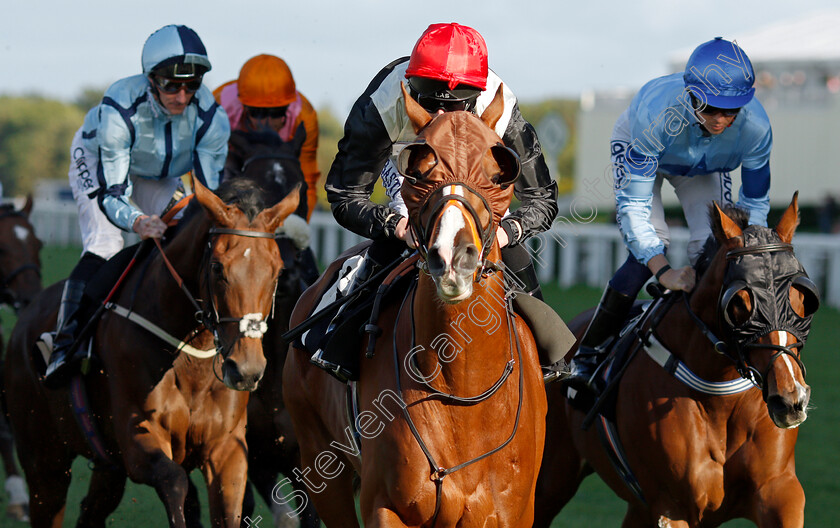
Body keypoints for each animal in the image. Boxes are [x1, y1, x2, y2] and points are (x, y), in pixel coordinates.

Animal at [4, 177, 300, 528]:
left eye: (278, 271)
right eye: (217, 268)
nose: (246, 370)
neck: (191, 358)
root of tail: (24, 320)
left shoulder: (228, 447)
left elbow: (230, 510)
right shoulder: (138, 438)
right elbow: (175, 482)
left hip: (106, 467)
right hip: (45, 460)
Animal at [280, 84, 544, 524]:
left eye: (498, 175)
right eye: (419, 174)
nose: (453, 257)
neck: (461, 390)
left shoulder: (513, 512)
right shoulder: (388, 507)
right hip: (319, 462)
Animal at [536, 194, 816, 528]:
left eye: (802, 297)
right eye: (739, 302)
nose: (789, 399)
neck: (719, 398)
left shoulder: (779, 491)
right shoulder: (672, 506)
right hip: (551, 479)